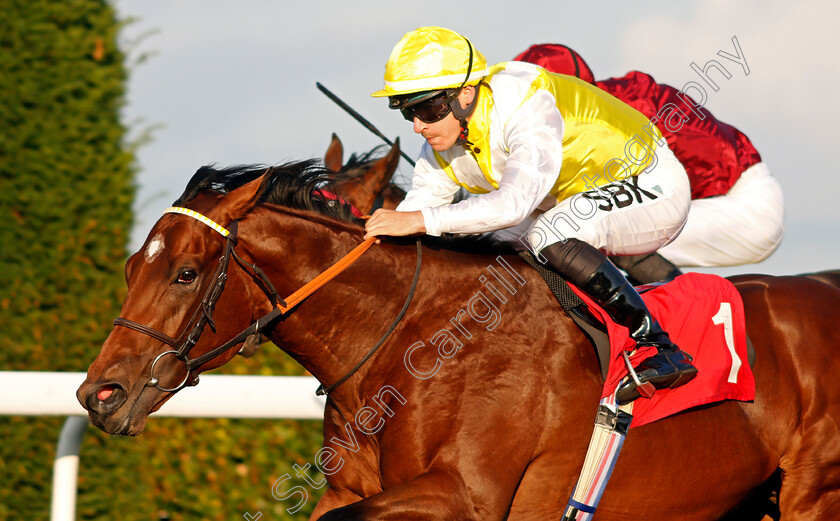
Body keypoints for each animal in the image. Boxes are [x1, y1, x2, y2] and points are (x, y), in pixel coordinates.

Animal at [77, 160, 840, 516]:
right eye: (131, 267)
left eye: (185, 272)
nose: (98, 394)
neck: (416, 341)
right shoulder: (351, 488)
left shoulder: (467, 494)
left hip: (813, 493)